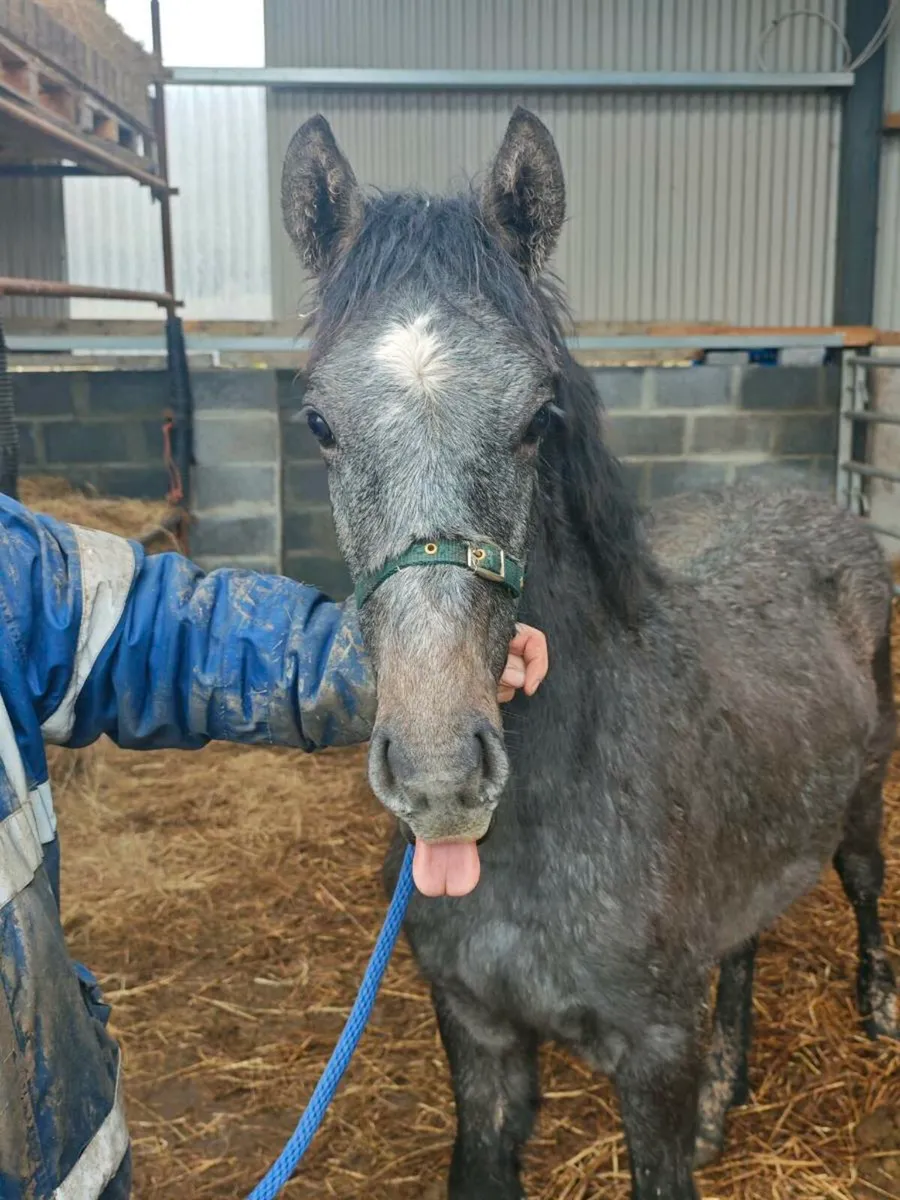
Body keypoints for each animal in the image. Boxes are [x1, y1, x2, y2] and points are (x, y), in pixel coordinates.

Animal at [280, 107, 898, 1199]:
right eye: (319, 421)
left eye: (538, 417)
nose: (440, 777)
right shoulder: (479, 1044)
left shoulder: (651, 1057)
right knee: (743, 948)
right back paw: (725, 1100)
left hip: (864, 796)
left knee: (864, 884)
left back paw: (878, 1010)